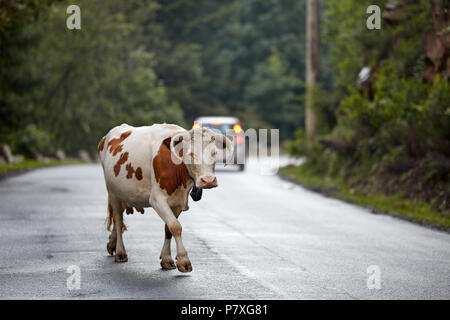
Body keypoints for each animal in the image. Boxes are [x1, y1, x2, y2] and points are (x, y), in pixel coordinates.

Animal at [97, 122, 234, 272]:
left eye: (214, 153)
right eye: (191, 154)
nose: (208, 181)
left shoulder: (177, 202)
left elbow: (168, 228)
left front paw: (167, 259)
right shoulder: (157, 200)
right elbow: (175, 226)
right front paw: (183, 260)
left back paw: (112, 244)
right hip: (113, 193)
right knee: (118, 219)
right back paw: (120, 252)